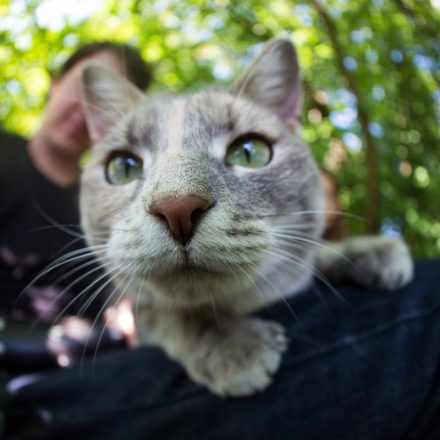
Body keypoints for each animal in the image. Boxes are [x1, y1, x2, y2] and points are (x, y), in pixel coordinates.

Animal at [78, 38, 412, 396]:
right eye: (123, 167)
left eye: (249, 152)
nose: (177, 207)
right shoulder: (140, 312)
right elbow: (169, 313)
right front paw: (230, 346)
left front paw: (367, 251)